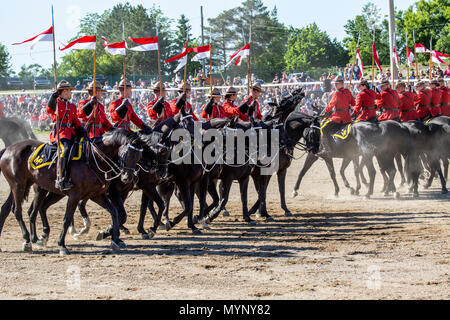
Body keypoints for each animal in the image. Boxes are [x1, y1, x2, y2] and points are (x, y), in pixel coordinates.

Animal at [0, 129, 142, 256]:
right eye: (128, 154)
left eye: (138, 156)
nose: (127, 178)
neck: (93, 159)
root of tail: (8, 149)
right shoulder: (75, 195)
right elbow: (67, 218)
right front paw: (62, 245)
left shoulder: (97, 195)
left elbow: (114, 212)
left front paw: (115, 240)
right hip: (19, 186)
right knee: (18, 210)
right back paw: (28, 240)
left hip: (27, 187)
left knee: (13, 209)